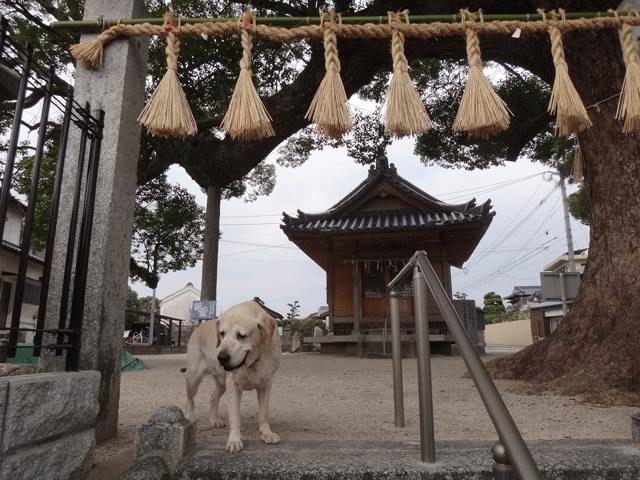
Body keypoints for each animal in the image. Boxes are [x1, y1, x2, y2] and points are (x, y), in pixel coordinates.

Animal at [184, 302, 282, 452]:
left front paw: (266, 433)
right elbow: (235, 416)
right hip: (194, 377)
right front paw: (235, 440)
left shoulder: (266, 384)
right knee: (190, 400)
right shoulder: (233, 385)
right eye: (222, 334)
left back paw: (215, 420)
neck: (254, 360)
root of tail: (198, 327)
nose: (221, 357)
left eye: (241, 335)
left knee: (213, 397)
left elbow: (263, 413)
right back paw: (189, 419)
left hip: (222, 383)